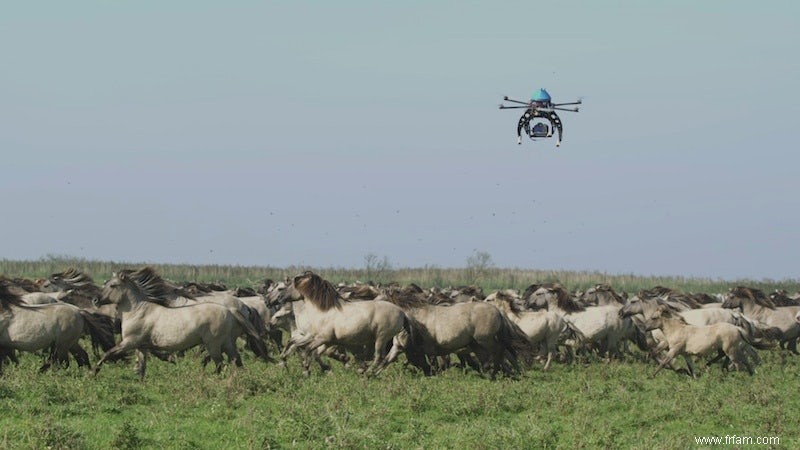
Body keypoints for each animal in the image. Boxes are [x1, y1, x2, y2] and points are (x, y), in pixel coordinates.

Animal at [92, 268, 268, 380]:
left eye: (112, 285)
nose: (95, 300)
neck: (138, 311)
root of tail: (232, 310)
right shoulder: (141, 346)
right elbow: (141, 368)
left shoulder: (129, 342)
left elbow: (108, 354)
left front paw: (93, 372)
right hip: (227, 342)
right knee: (236, 361)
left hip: (213, 344)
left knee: (219, 363)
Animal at [276, 270, 412, 376]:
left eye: (293, 283)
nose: (279, 298)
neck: (323, 311)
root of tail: (402, 313)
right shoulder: (326, 341)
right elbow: (306, 349)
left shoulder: (322, 339)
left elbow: (308, 350)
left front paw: (306, 370)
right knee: (385, 358)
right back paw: (368, 371)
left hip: (381, 338)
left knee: (379, 358)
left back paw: (367, 373)